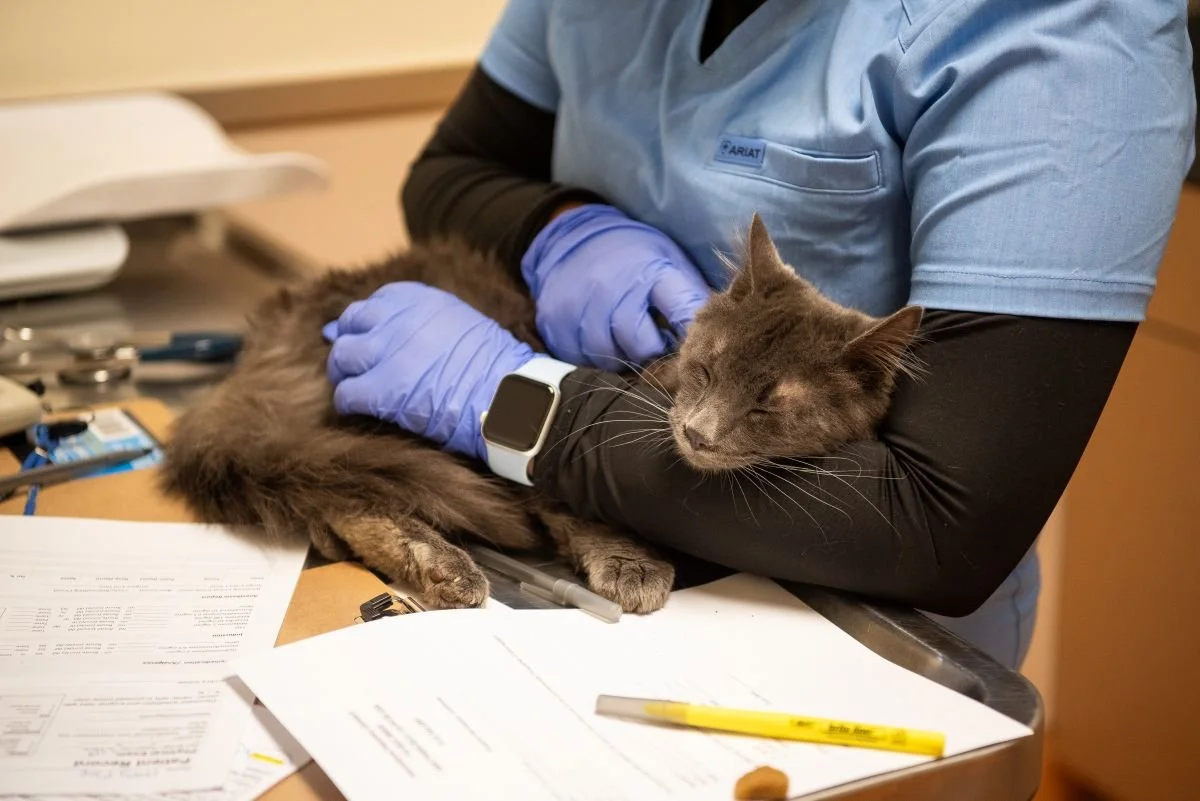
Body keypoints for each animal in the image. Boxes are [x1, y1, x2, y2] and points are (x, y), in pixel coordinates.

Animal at [159, 214, 922, 613]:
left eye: (765, 405)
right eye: (706, 369)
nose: (697, 431)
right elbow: (590, 514)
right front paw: (632, 566)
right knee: (353, 494)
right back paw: (443, 566)